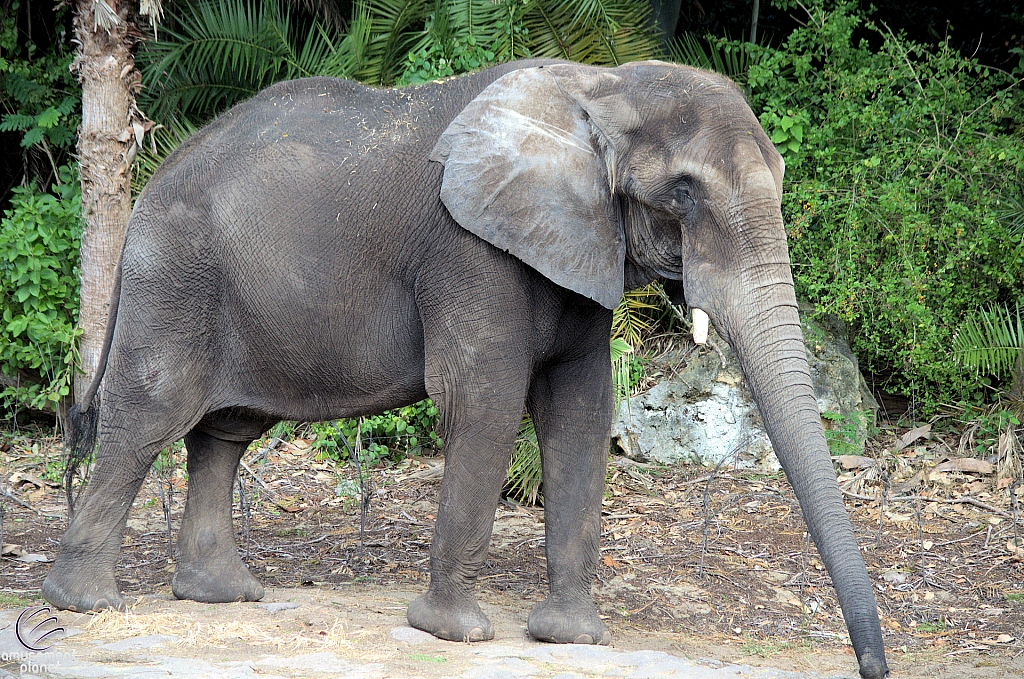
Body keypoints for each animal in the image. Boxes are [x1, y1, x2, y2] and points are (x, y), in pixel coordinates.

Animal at [39, 59, 888, 679]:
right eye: (682, 192)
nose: (872, 668)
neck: (598, 88)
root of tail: (145, 188)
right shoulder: (467, 249)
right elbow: (482, 399)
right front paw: (456, 633)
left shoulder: (579, 245)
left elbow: (580, 411)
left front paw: (572, 638)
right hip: (173, 278)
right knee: (146, 421)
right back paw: (86, 605)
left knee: (224, 432)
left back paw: (223, 595)